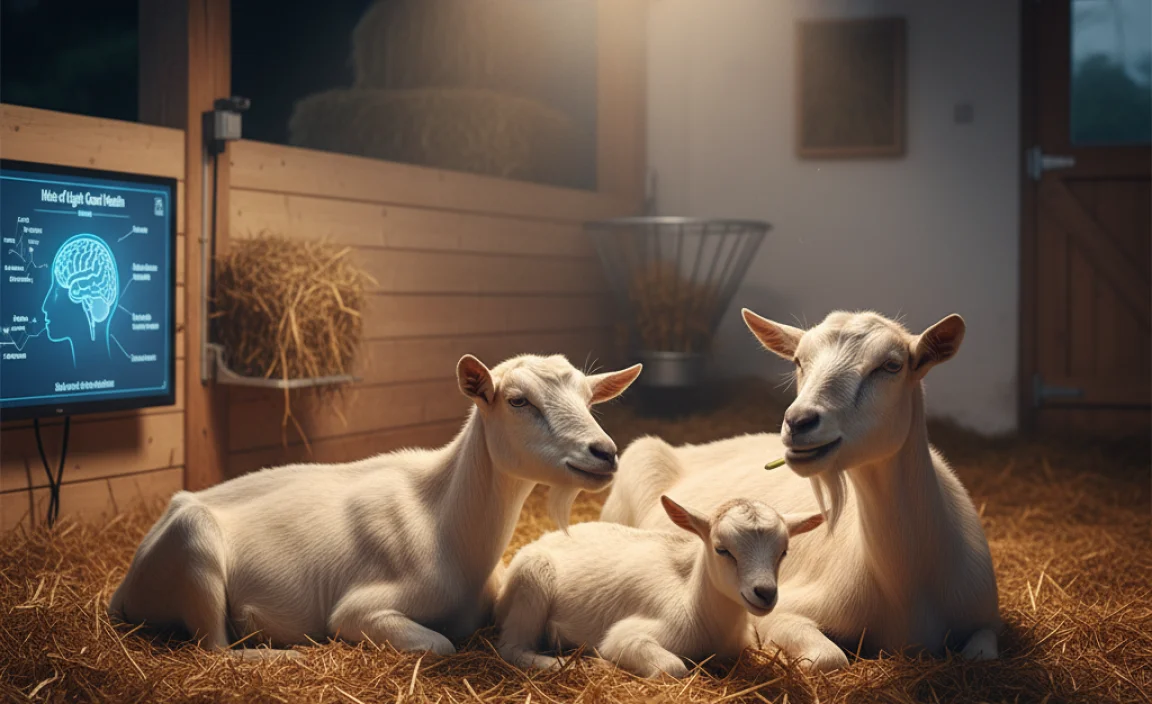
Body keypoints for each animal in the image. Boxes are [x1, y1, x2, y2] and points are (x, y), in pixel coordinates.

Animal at [109, 354, 641, 656]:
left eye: (591, 399)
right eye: (517, 400)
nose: (604, 452)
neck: (444, 522)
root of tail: (125, 586)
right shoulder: (359, 612)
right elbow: (441, 644)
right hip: (195, 550)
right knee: (214, 648)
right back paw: (280, 651)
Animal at [496, 495, 823, 678]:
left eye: (783, 552)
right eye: (722, 549)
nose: (765, 593)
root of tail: (546, 537)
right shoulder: (626, 637)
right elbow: (672, 667)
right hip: (531, 582)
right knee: (511, 648)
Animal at [601, 310, 1001, 671]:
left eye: (891, 365)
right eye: (798, 361)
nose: (798, 422)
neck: (908, 585)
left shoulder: (985, 619)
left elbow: (982, 656)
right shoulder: (787, 609)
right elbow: (828, 658)